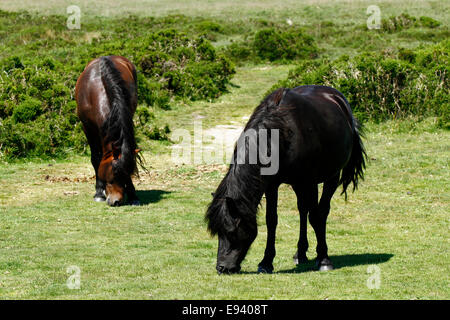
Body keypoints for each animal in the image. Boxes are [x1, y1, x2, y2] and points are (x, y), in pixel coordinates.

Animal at [75, 56, 141, 206]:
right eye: (111, 178)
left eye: (127, 175)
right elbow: (96, 158)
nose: (116, 201)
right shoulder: (87, 128)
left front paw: (133, 194)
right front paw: (99, 193)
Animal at [206, 86, 368, 274]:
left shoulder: (308, 181)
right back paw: (300, 253)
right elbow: (272, 220)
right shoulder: (271, 185)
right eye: (218, 232)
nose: (222, 267)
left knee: (320, 212)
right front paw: (266, 262)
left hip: (331, 177)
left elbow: (316, 216)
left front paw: (324, 259)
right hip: (299, 184)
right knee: (303, 210)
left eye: (232, 232)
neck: (281, 133)